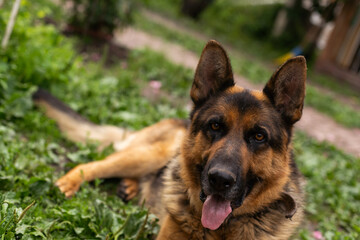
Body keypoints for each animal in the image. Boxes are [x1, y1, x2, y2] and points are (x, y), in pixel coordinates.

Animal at [34, 40, 306, 239]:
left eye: (259, 136)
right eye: (215, 125)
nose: (220, 180)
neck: (220, 229)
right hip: (148, 155)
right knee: (90, 165)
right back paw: (69, 183)